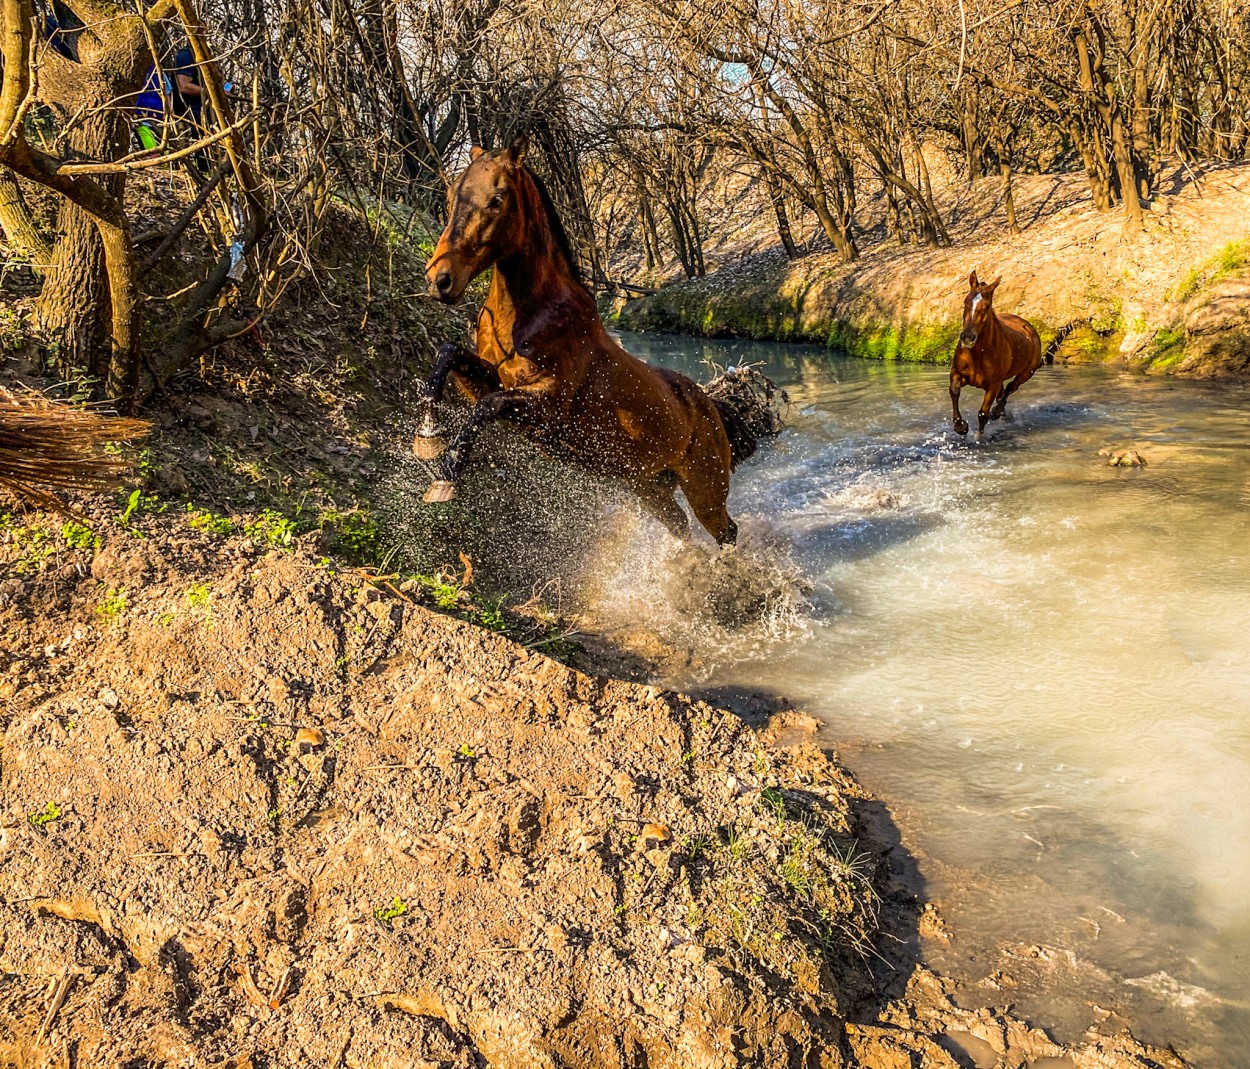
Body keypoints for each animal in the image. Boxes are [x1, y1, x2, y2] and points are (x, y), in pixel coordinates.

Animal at [415, 136, 755, 547]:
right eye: (452, 196)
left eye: (496, 199)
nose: (439, 280)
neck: (532, 315)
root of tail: (709, 404)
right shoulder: (491, 378)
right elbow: (448, 356)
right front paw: (427, 435)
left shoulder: (549, 404)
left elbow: (487, 406)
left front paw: (446, 476)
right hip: (649, 487)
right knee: (680, 526)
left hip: (704, 487)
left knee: (725, 530)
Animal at [945, 276, 1045, 442]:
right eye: (966, 301)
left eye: (986, 306)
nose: (967, 337)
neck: (978, 353)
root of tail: (1027, 326)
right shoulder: (957, 373)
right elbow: (954, 391)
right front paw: (960, 426)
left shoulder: (993, 385)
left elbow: (983, 413)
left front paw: (978, 437)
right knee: (1004, 392)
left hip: (1027, 372)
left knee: (1011, 387)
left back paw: (997, 411)